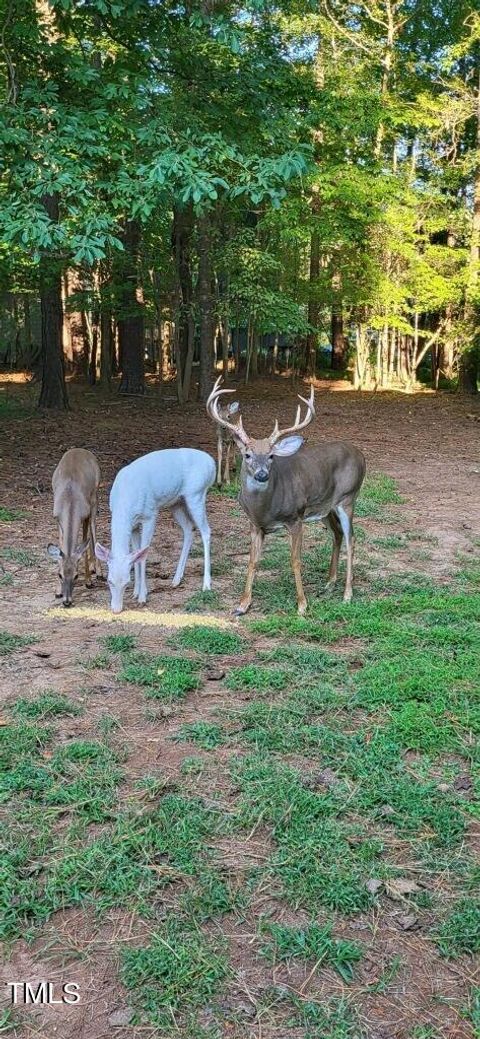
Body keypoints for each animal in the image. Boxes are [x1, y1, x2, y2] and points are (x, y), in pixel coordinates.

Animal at [47, 448, 101, 606]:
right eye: (60, 574)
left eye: (76, 576)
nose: (67, 601)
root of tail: (81, 450)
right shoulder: (57, 518)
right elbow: (61, 546)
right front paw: (58, 591)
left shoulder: (84, 515)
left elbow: (84, 542)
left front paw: (88, 581)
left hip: (95, 496)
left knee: (94, 528)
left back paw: (98, 571)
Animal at [94, 450, 215, 610]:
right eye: (109, 580)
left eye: (126, 582)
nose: (116, 610)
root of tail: (213, 464)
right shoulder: (133, 525)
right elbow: (136, 552)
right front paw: (135, 592)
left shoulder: (150, 515)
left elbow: (143, 554)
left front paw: (142, 596)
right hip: (176, 502)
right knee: (189, 529)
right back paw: (176, 579)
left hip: (196, 494)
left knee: (206, 531)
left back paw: (206, 585)